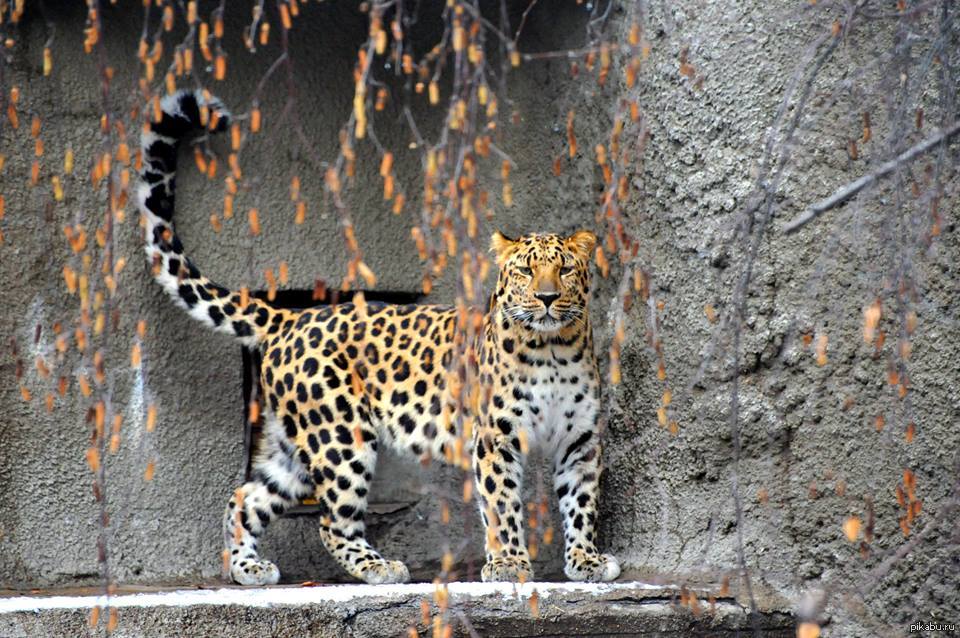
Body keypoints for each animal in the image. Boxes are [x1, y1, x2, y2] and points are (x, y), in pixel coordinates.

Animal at [141, 91, 624, 592]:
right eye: (527, 271)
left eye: (564, 270)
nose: (547, 298)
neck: (552, 350)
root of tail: (290, 317)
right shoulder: (496, 436)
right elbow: (501, 503)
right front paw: (509, 563)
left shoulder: (580, 437)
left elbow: (581, 501)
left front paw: (586, 560)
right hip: (340, 435)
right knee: (331, 522)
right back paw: (379, 567)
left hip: (297, 442)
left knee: (246, 497)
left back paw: (247, 568)